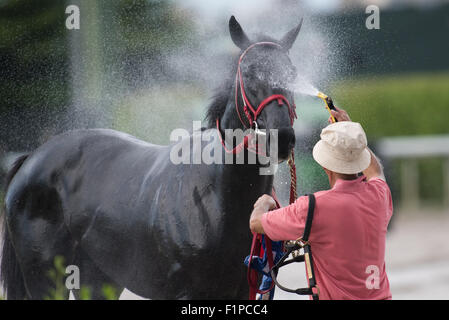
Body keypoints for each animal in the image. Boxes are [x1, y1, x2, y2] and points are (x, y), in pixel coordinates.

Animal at [1, 16, 300, 298]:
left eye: (293, 74)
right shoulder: (185, 291)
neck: (217, 195)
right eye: (248, 73)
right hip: (46, 277)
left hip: (97, 276)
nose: (281, 137)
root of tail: (32, 158)